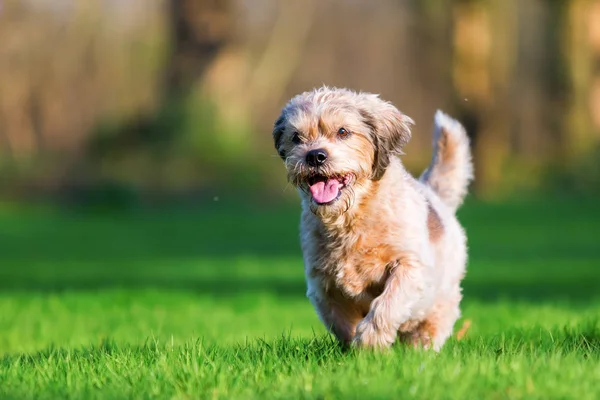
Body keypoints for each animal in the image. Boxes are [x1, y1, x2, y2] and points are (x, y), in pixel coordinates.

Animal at [272, 86, 474, 350]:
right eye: (296, 137)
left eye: (343, 132)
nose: (315, 156)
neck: (351, 218)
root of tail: (433, 193)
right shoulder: (322, 287)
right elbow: (341, 323)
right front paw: (354, 350)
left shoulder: (409, 266)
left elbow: (388, 305)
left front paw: (370, 344)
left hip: (443, 300)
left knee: (430, 326)